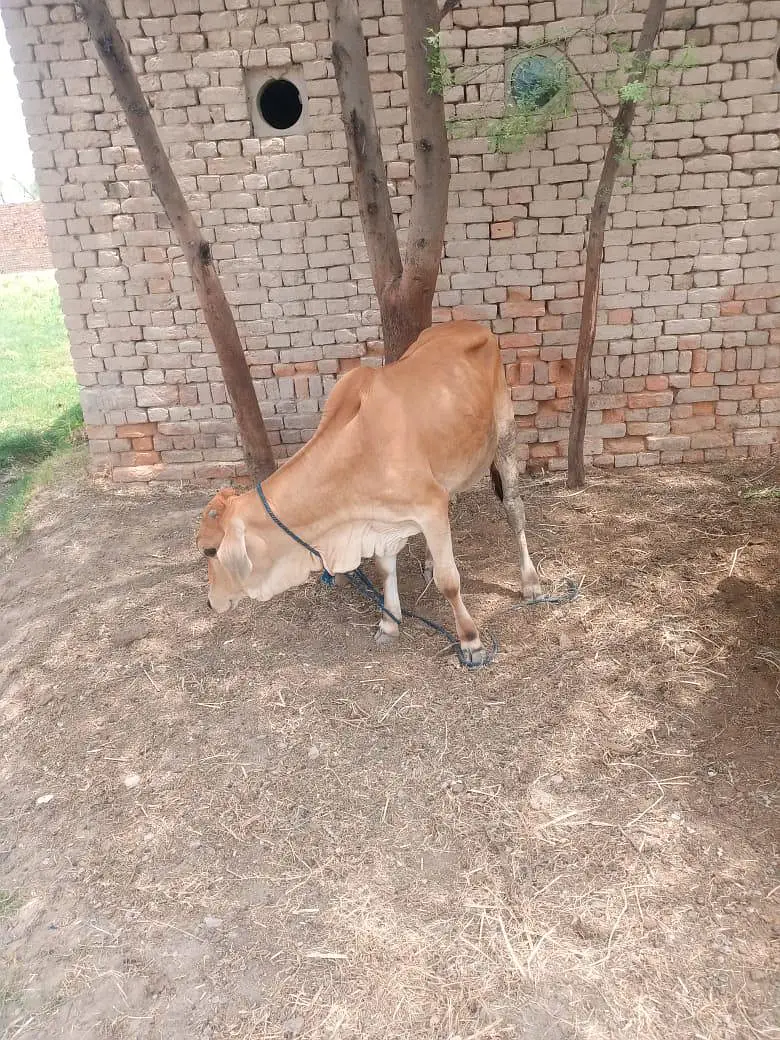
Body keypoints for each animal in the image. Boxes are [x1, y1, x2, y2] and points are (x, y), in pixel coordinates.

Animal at [197, 320, 542, 666]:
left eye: (210, 551)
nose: (211, 603)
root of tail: (470, 323)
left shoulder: (428, 505)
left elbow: (449, 581)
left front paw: (470, 641)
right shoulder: (383, 519)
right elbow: (386, 569)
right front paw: (389, 623)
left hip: (505, 434)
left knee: (514, 509)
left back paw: (530, 583)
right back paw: (430, 561)